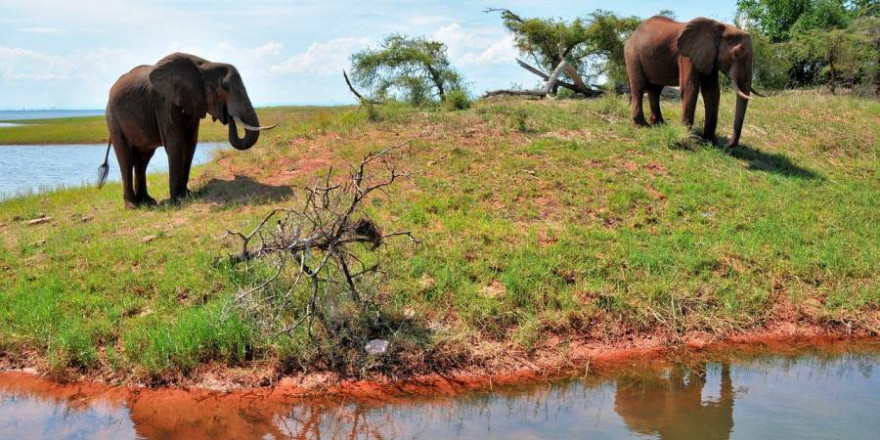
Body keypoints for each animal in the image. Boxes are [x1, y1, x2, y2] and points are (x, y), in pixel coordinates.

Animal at [99, 52, 276, 209]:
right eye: (224, 88)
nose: (228, 115)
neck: (205, 65)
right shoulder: (165, 102)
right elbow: (176, 143)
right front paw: (177, 201)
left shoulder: (193, 101)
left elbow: (190, 144)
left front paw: (187, 195)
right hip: (113, 119)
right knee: (126, 157)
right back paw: (132, 206)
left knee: (142, 159)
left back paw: (147, 202)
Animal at [624, 16, 756, 147]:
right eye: (736, 54)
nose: (727, 146)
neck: (721, 28)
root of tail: (633, 33)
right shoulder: (686, 56)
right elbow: (690, 87)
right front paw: (687, 138)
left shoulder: (710, 57)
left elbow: (712, 91)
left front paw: (710, 142)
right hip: (632, 55)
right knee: (639, 87)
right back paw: (641, 125)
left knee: (655, 90)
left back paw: (659, 124)